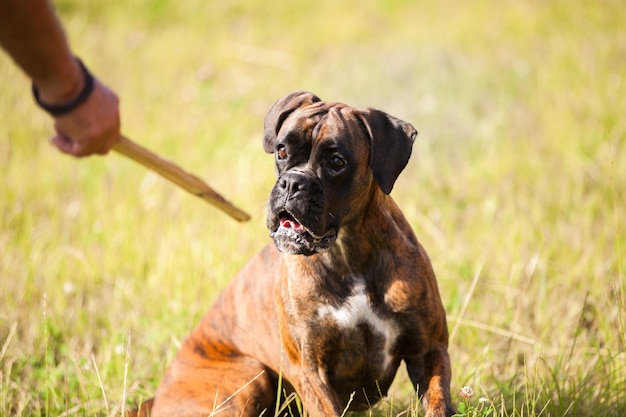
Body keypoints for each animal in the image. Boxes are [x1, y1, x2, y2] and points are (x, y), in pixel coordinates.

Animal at [136, 91, 450, 416]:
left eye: (336, 161)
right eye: (282, 150)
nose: (292, 182)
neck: (346, 255)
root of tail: (156, 398)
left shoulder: (430, 349)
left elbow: (438, 403)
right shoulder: (311, 370)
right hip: (249, 373)